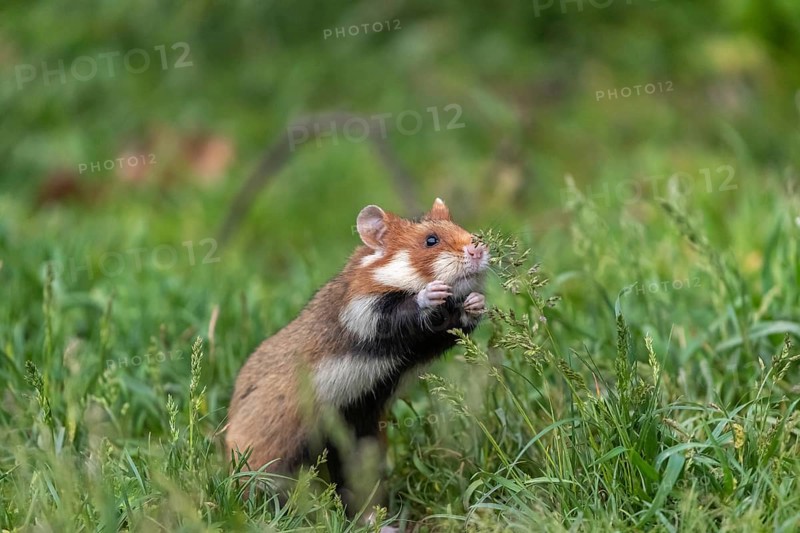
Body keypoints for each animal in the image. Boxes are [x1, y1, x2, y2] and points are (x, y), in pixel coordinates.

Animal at [225, 198, 489, 514]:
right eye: (431, 240)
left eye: (459, 226)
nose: (479, 249)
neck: (385, 272)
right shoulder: (364, 311)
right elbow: (405, 309)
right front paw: (432, 293)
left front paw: (476, 302)